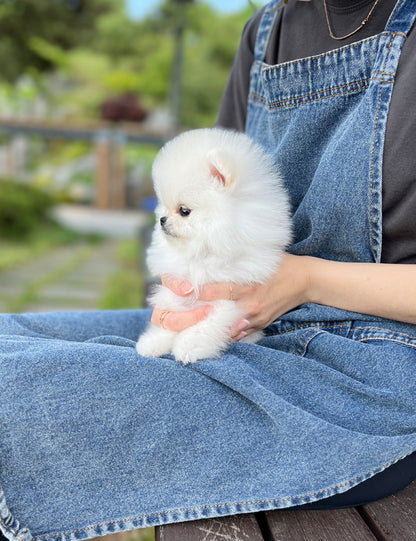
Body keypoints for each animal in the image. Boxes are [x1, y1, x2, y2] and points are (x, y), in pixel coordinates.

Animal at [135, 127, 290, 362]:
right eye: (164, 206)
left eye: (184, 211)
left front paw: (188, 346)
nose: (162, 219)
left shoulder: (225, 300)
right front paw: (153, 343)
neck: (205, 251)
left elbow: (205, 326)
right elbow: (171, 315)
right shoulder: (179, 288)